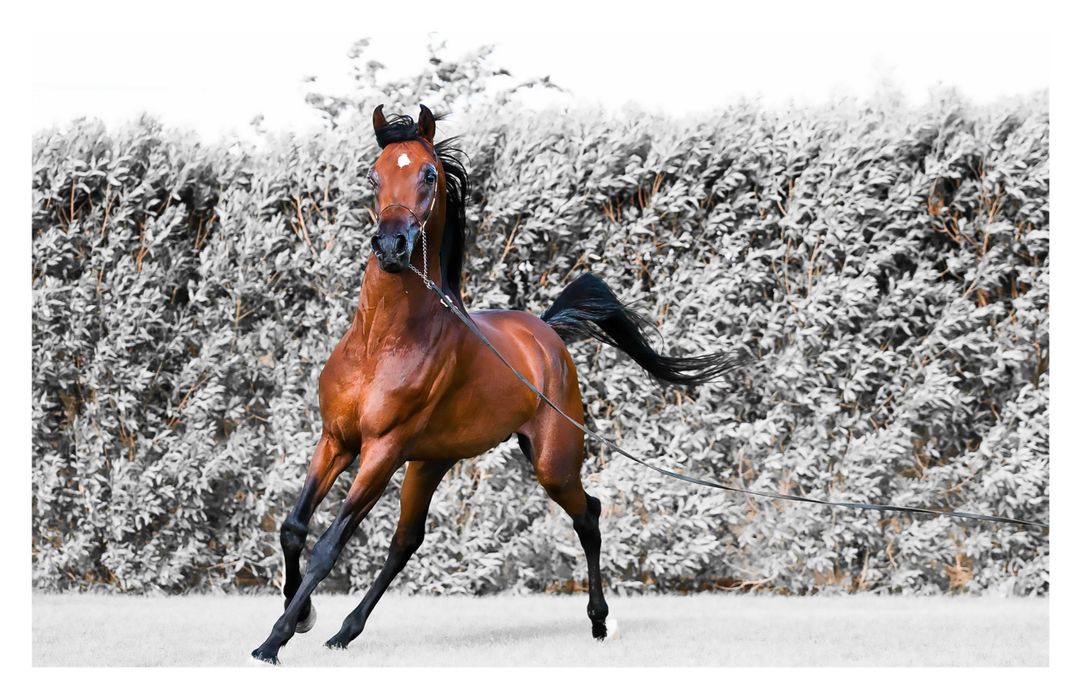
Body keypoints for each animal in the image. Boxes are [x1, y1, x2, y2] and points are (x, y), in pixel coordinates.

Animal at [251, 105, 736, 664]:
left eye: (429, 174)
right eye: (373, 175)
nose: (392, 246)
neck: (380, 343)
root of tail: (547, 332)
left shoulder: (380, 450)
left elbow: (328, 546)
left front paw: (274, 639)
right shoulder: (336, 439)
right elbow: (293, 528)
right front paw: (303, 616)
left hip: (551, 462)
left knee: (588, 516)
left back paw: (599, 622)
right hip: (430, 462)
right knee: (406, 541)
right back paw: (344, 632)